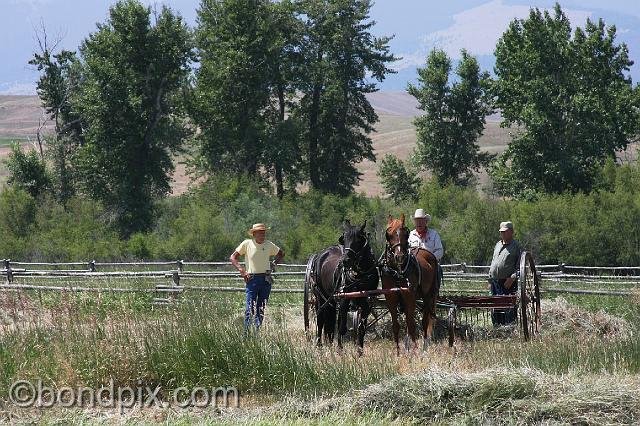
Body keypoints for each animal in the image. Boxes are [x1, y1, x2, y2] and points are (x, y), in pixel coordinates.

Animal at [306, 220, 379, 353]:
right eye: (344, 239)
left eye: (359, 240)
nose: (345, 260)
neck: (360, 276)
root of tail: (323, 253)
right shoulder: (344, 298)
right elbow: (342, 327)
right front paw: (340, 350)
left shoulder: (366, 302)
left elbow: (361, 328)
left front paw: (360, 351)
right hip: (320, 296)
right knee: (320, 318)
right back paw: (319, 344)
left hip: (331, 299)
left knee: (331, 319)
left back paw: (329, 342)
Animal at [380, 214, 439, 354]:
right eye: (388, 234)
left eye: (405, 234)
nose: (399, 256)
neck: (397, 272)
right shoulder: (391, 299)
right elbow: (396, 325)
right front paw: (398, 352)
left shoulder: (409, 297)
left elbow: (411, 324)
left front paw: (415, 350)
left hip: (429, 296)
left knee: (425, 321)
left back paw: (424, 347)